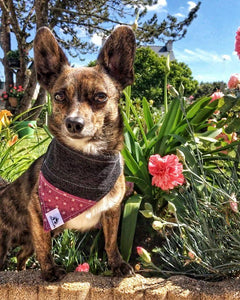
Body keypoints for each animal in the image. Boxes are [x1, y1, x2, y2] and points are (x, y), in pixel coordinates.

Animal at [0, 25, 135, 282]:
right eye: (59, 96)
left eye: (101, 97)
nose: (74, 123)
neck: (86, 159)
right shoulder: (39, 215)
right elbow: (45, 248)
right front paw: (50, 271)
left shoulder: (112, 211)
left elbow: (111, 242)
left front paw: (118, 265)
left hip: (27, 242)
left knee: (21, 255)